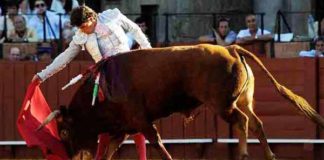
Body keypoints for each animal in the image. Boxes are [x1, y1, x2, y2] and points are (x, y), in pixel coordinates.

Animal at [41, 44, 324, 160]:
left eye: (64, 131)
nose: (71, 156)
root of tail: (231, 48)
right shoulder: (123, 128)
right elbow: (110, 150)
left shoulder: (140, 121)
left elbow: (156, 143)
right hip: (243, 100)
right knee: (255, 122)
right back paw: (270, 155)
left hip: (223, 105)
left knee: (242, 121)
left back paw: (244, 154)